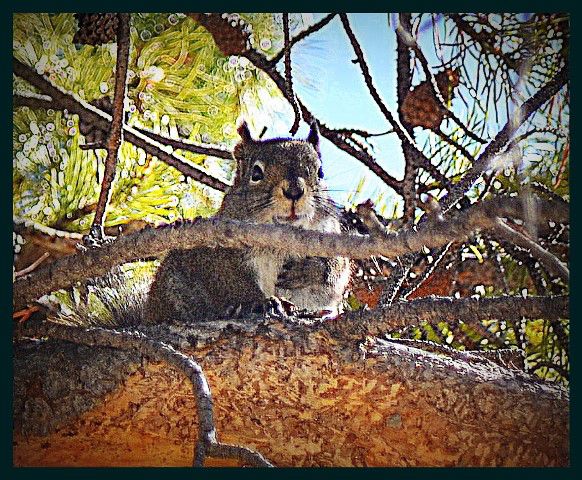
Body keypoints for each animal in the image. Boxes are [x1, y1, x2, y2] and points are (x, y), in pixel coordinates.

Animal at [143, 121, 352, 322]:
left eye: (320, 172)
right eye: (256, 174)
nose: (294, 191)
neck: (282, 236)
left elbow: (337, 268)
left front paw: (307, 271)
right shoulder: (216, 257)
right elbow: (234, 282)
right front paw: (262, 301)